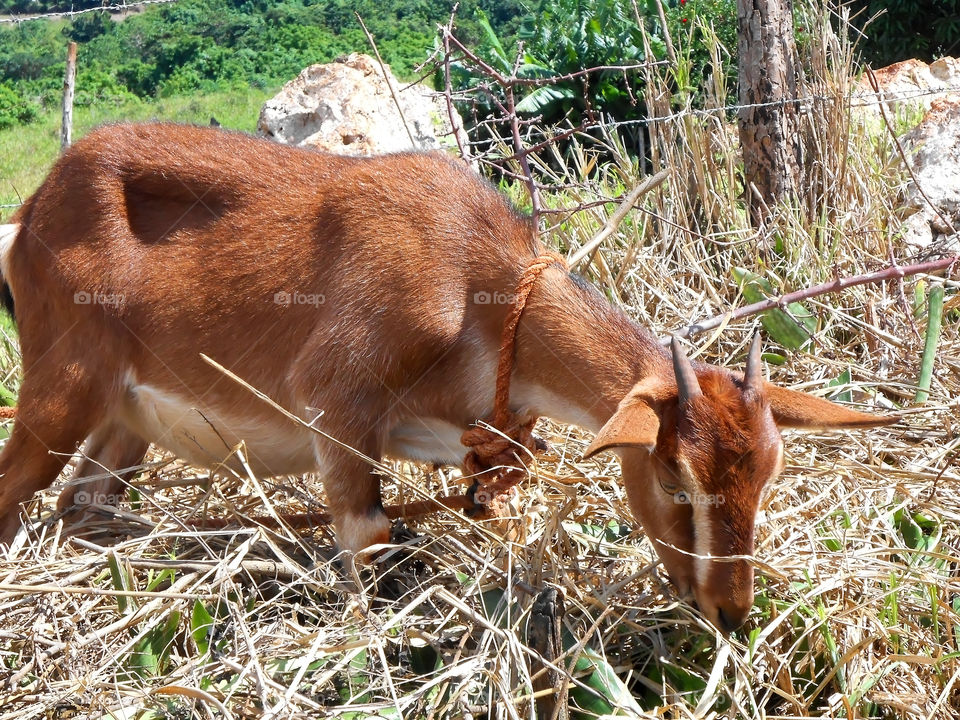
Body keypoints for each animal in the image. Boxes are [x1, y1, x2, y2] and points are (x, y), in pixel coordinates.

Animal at [0, 123, 893, 632]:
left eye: (768, 475)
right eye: (674, 479)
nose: (731, 613)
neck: (479, 285)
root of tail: (34, 205)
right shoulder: (338, 403)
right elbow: (368, 537)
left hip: (122, 420)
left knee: (86, 503)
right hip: (59, 384)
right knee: (17, 490)